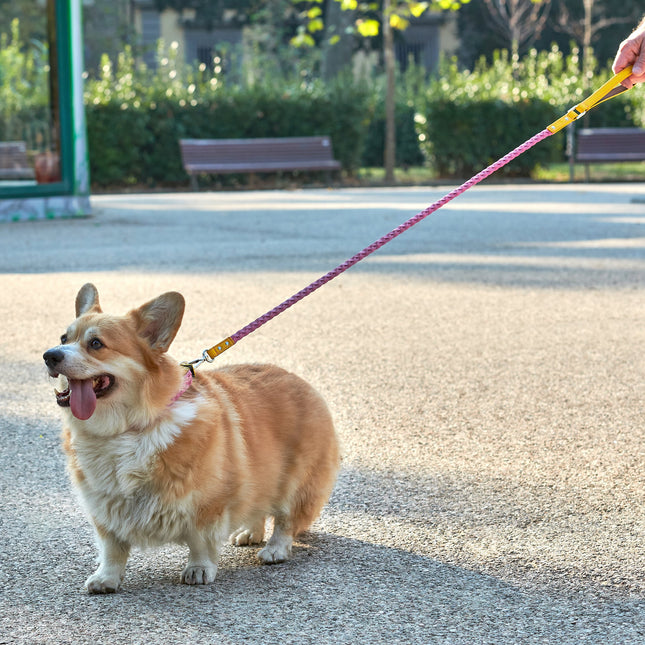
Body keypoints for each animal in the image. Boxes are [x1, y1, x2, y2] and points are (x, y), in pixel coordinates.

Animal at [42, 284, 340, 592]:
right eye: (64, 338)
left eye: (96, 344)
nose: (49, 355)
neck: (126, 429)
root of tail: (301, 380)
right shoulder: (104, 506)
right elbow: (111, 548)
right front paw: (105, 579)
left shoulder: (209, 503)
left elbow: (201, 542)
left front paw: (198, 569)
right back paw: (250, 532)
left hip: (295, 481)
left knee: (285, 519)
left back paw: (275, 549)